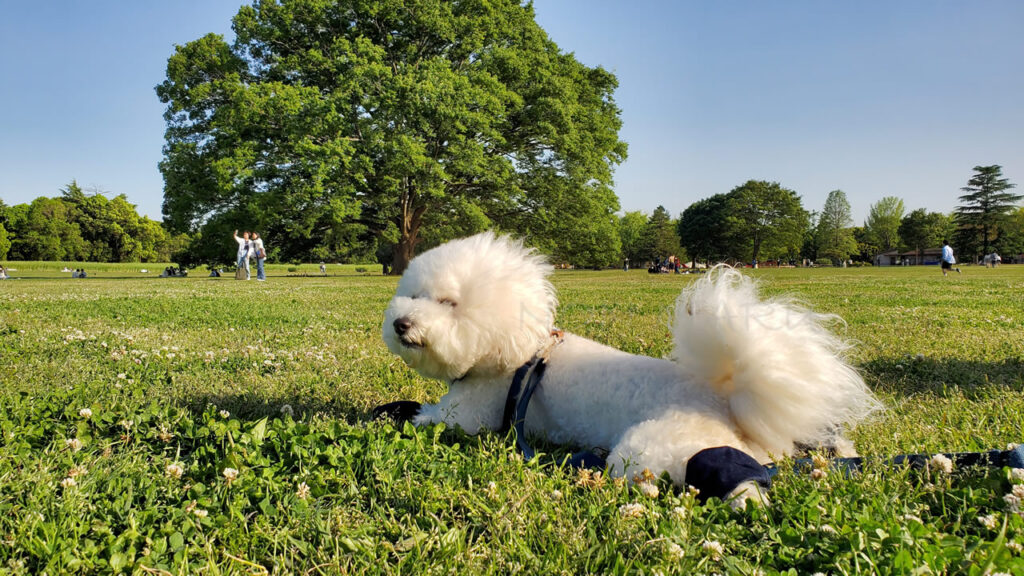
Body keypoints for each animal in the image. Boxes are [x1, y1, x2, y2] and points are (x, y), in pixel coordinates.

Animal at [380, 233, 876, 498]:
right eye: (414, 294)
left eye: (450, 303)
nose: (401, 324)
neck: (519, 351)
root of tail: (729, 401)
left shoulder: (471, 414)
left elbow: (433, 417)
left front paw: (409, 415)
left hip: (654, 446)